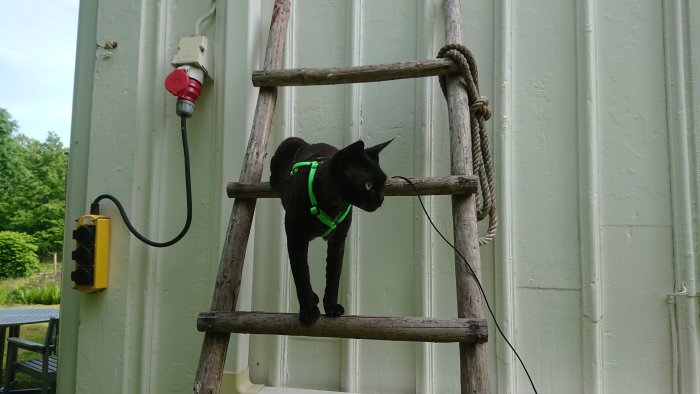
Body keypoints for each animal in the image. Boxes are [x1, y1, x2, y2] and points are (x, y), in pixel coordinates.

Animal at [270, 137, 392, 324]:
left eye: (384, 182)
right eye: (368, 185)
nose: (381, 199)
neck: (333, 203)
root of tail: (309, 144)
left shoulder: (338, 241)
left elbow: (334, 276)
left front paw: (331, 308)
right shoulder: (295, 237)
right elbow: (301, 275)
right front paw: (308, 312)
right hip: (288, 144)